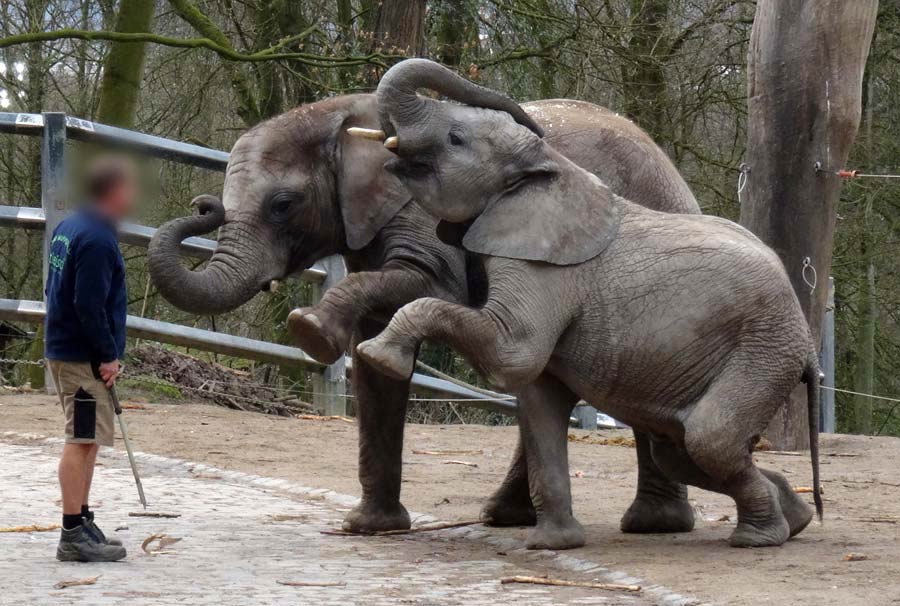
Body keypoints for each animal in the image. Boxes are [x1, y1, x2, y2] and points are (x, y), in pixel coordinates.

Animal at [146, 85, 696, 536]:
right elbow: (370, 357)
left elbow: (425, 284)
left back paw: (651, 525)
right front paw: (370, 529)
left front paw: (310, 331)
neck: (338, 114)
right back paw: (507, 517)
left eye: (283, 204)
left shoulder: (423, 212)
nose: (202, 205)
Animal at [354, 59, 824, 552]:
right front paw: (551, 545)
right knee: (678, 452)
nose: (530, 115)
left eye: (455, 140)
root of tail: (808, 348)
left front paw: (377, 356)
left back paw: (758, 538)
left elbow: (513, 356)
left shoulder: (544, 269)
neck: (547, 171)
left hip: (762, 351)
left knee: (708, 440)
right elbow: (537, 400)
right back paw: (795, 518)